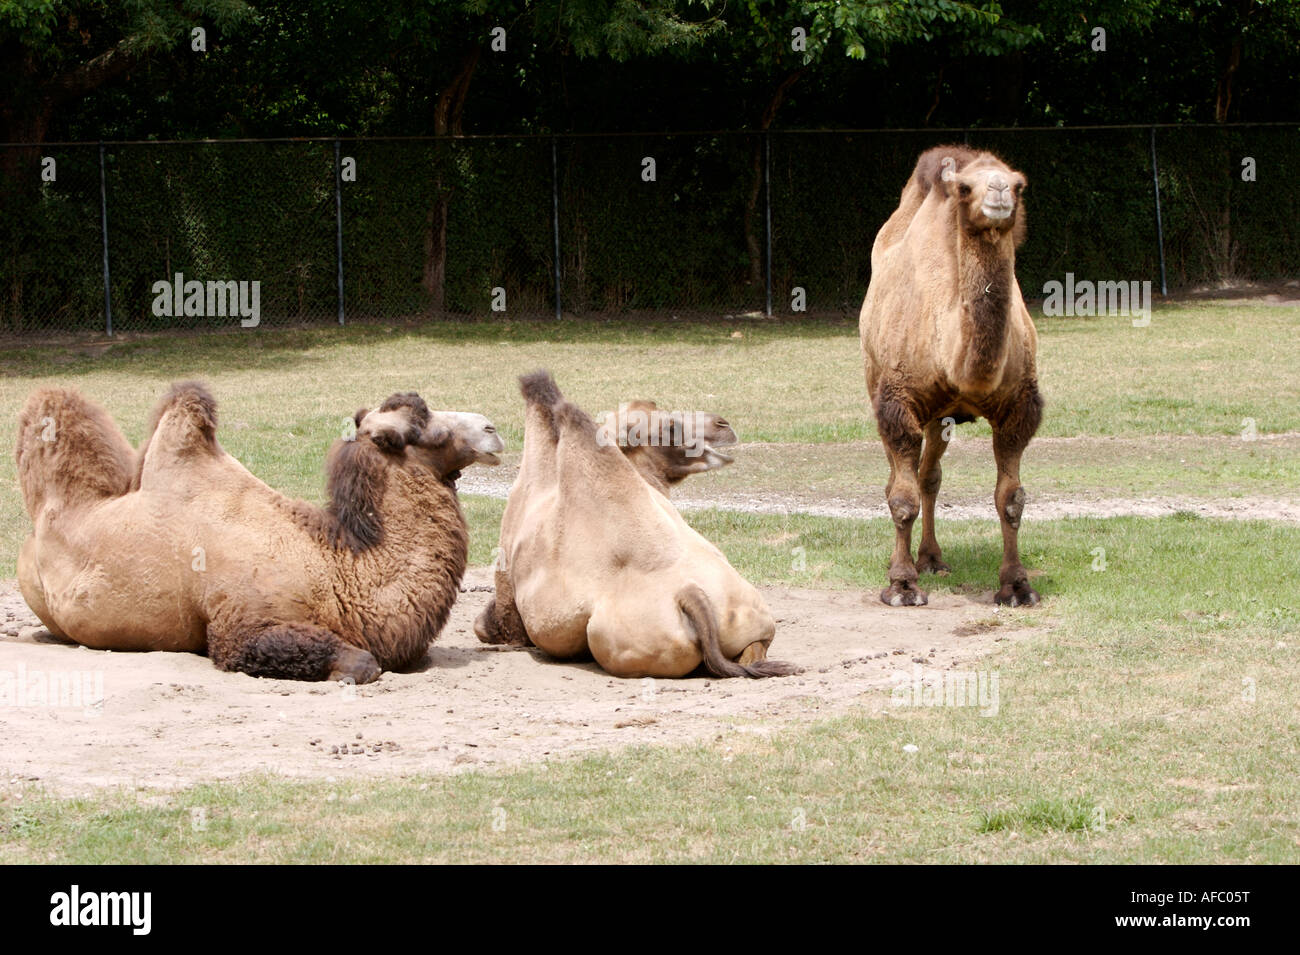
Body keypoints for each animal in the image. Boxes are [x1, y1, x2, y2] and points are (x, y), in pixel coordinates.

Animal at [15, 384, 501, 686]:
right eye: (424, 427)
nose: (491, 429)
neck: (337, 568)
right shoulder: (241, 625)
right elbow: (364, 662)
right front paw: (346, 671)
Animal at [478, 374, 795, 680]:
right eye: (669, 427)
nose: (723, 424)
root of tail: (689, 594)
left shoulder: (507, 591)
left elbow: (485, 625)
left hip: (615, 641)